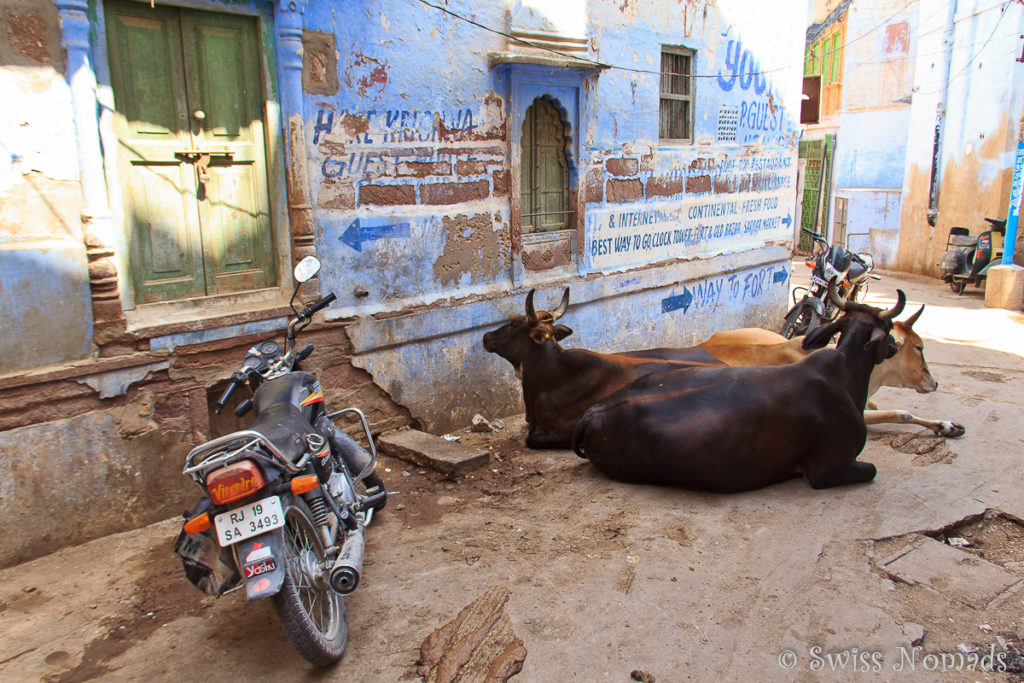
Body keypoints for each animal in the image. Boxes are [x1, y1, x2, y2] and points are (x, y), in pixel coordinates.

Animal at [573, 284, 909, 491]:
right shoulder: (829, 469)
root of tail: (592, 414)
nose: (895, 346)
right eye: (889, 329)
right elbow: (872, 469)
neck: (848, 375)